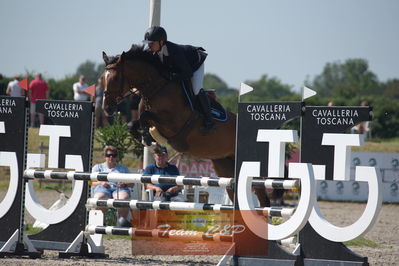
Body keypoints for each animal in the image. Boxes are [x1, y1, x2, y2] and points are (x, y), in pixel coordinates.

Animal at [101, 44, 268, 206]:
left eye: (115, 78)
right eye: (103, 78)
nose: (107, 108)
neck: (157, 88)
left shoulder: (173, 124)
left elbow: (145, 116)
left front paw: (149, 140)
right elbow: (133, 124)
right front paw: (150, 142)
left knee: (261, 194)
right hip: (225, 166)